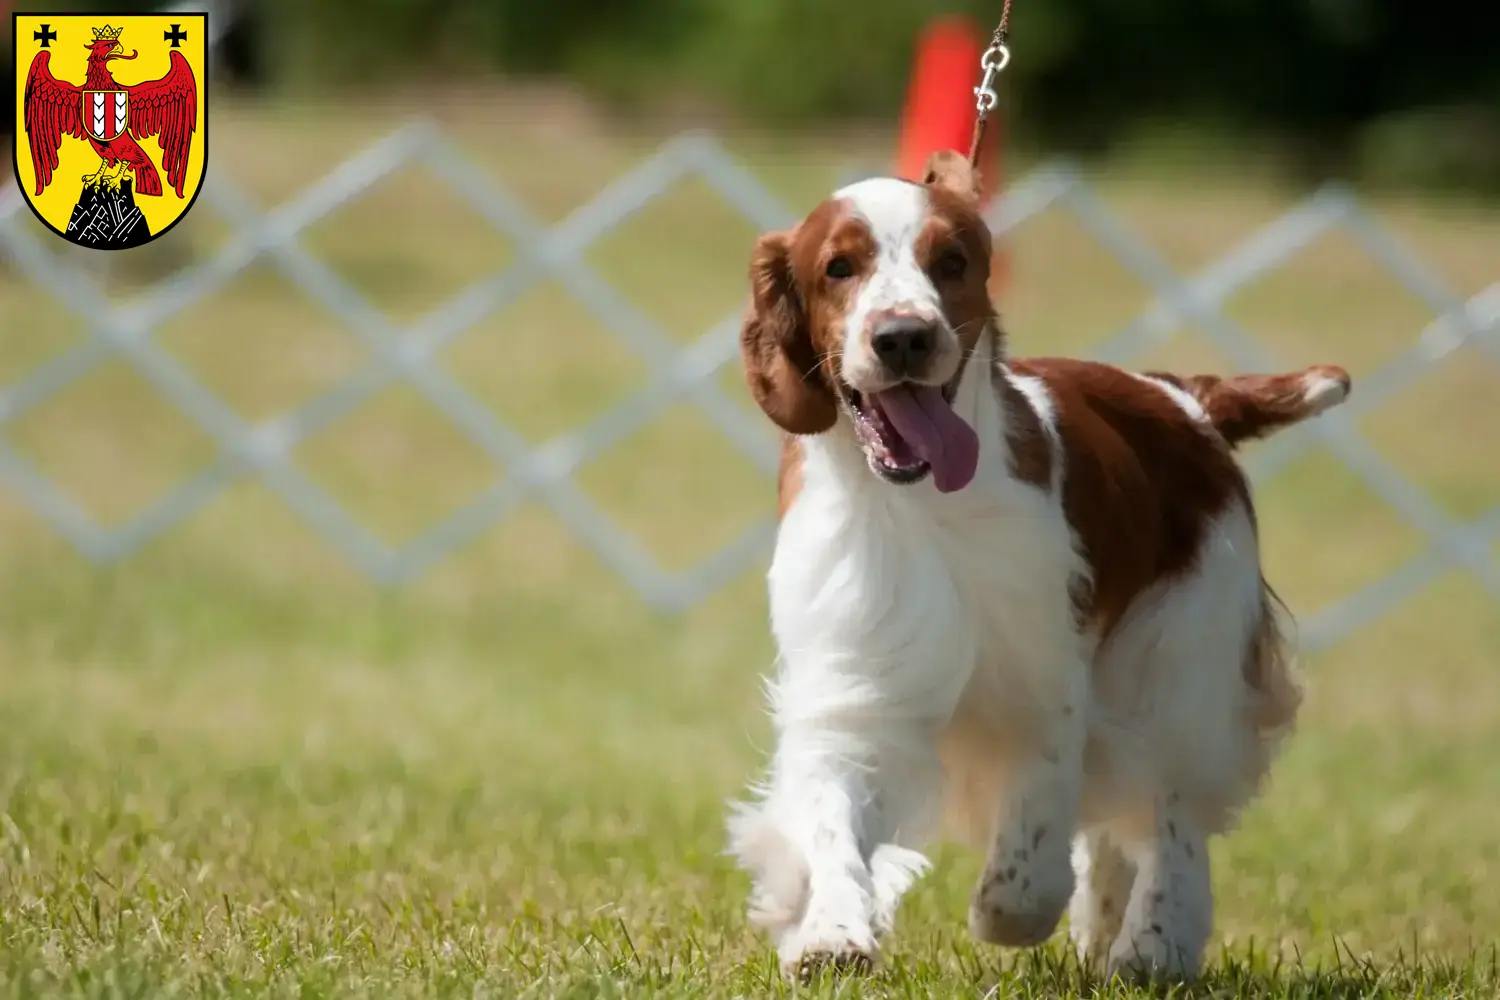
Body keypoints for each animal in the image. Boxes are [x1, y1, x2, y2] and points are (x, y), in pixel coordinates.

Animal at [723, 150, 1350, 983]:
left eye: (951, 262)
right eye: (838, 267)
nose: (903, 337)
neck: (922, 506)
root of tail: (1185, 398)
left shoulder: (1042, 676)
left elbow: (1028, 856)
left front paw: (1011, 908)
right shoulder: (854, 683)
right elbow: (831, 819)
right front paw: (830, 933)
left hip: (1182, 653)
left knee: (1174, 807)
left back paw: (1156, 945)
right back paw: (1105, 929)